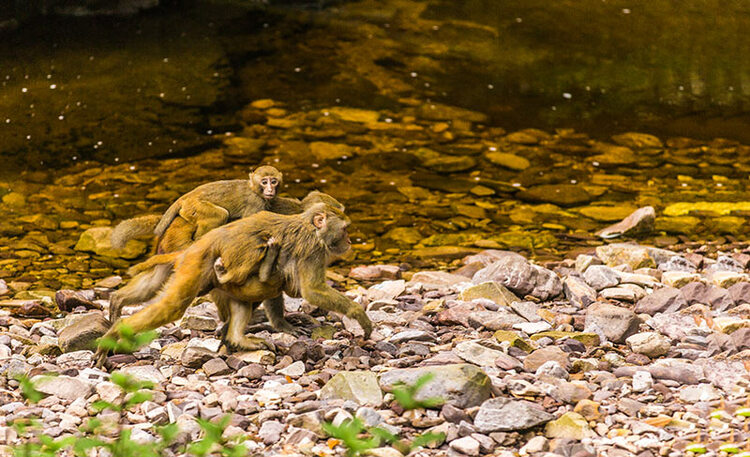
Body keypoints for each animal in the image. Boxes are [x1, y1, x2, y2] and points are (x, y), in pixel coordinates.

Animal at [94, 203, 374, 366]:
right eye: (345, 229)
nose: (350, 241)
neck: (310, 227)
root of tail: (197, 247)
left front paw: (282, 324)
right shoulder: (313, 250)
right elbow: (310, 291)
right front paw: (358, 314)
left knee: (242, 297)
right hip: (197, 265)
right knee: (173, 306)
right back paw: (117, 331)